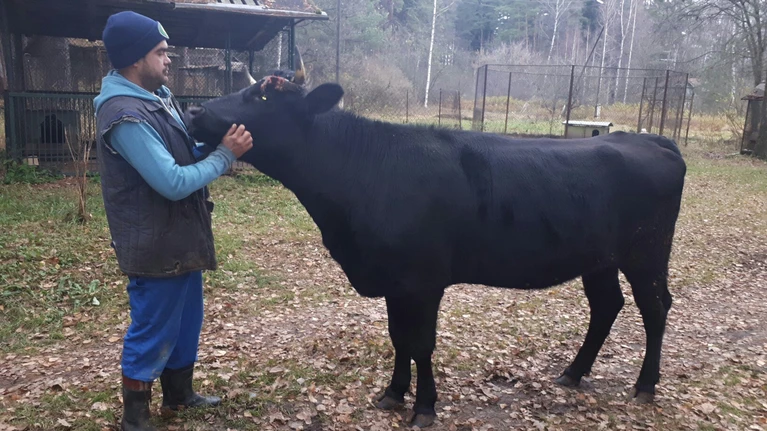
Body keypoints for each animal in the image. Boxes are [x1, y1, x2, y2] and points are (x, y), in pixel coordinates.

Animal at [183, 69, 687, 428]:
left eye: (264, 97)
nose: (193, 114)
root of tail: (647, 138)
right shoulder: (395, 281)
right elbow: (399, 338)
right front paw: (392, 394)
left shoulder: (423, 280)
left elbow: (422, 343)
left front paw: (424, 407)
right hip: (599, 259)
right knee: (607, 305)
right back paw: (572, 373)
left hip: (647, 253)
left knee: (655, 307)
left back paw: (645, 385)